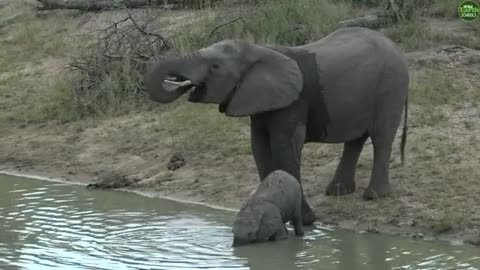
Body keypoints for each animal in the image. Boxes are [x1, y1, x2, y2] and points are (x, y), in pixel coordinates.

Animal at [143, 26, 408, 226]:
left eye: (215, 67)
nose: (182, 83)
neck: (259, 49)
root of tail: (395, 46)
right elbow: (260, 149)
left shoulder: (293, 101)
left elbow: (283, 149)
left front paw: (307, 221)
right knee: (355, 140)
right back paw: (338, 192)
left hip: (391, 85)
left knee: (381, 137)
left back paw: (374, 196)